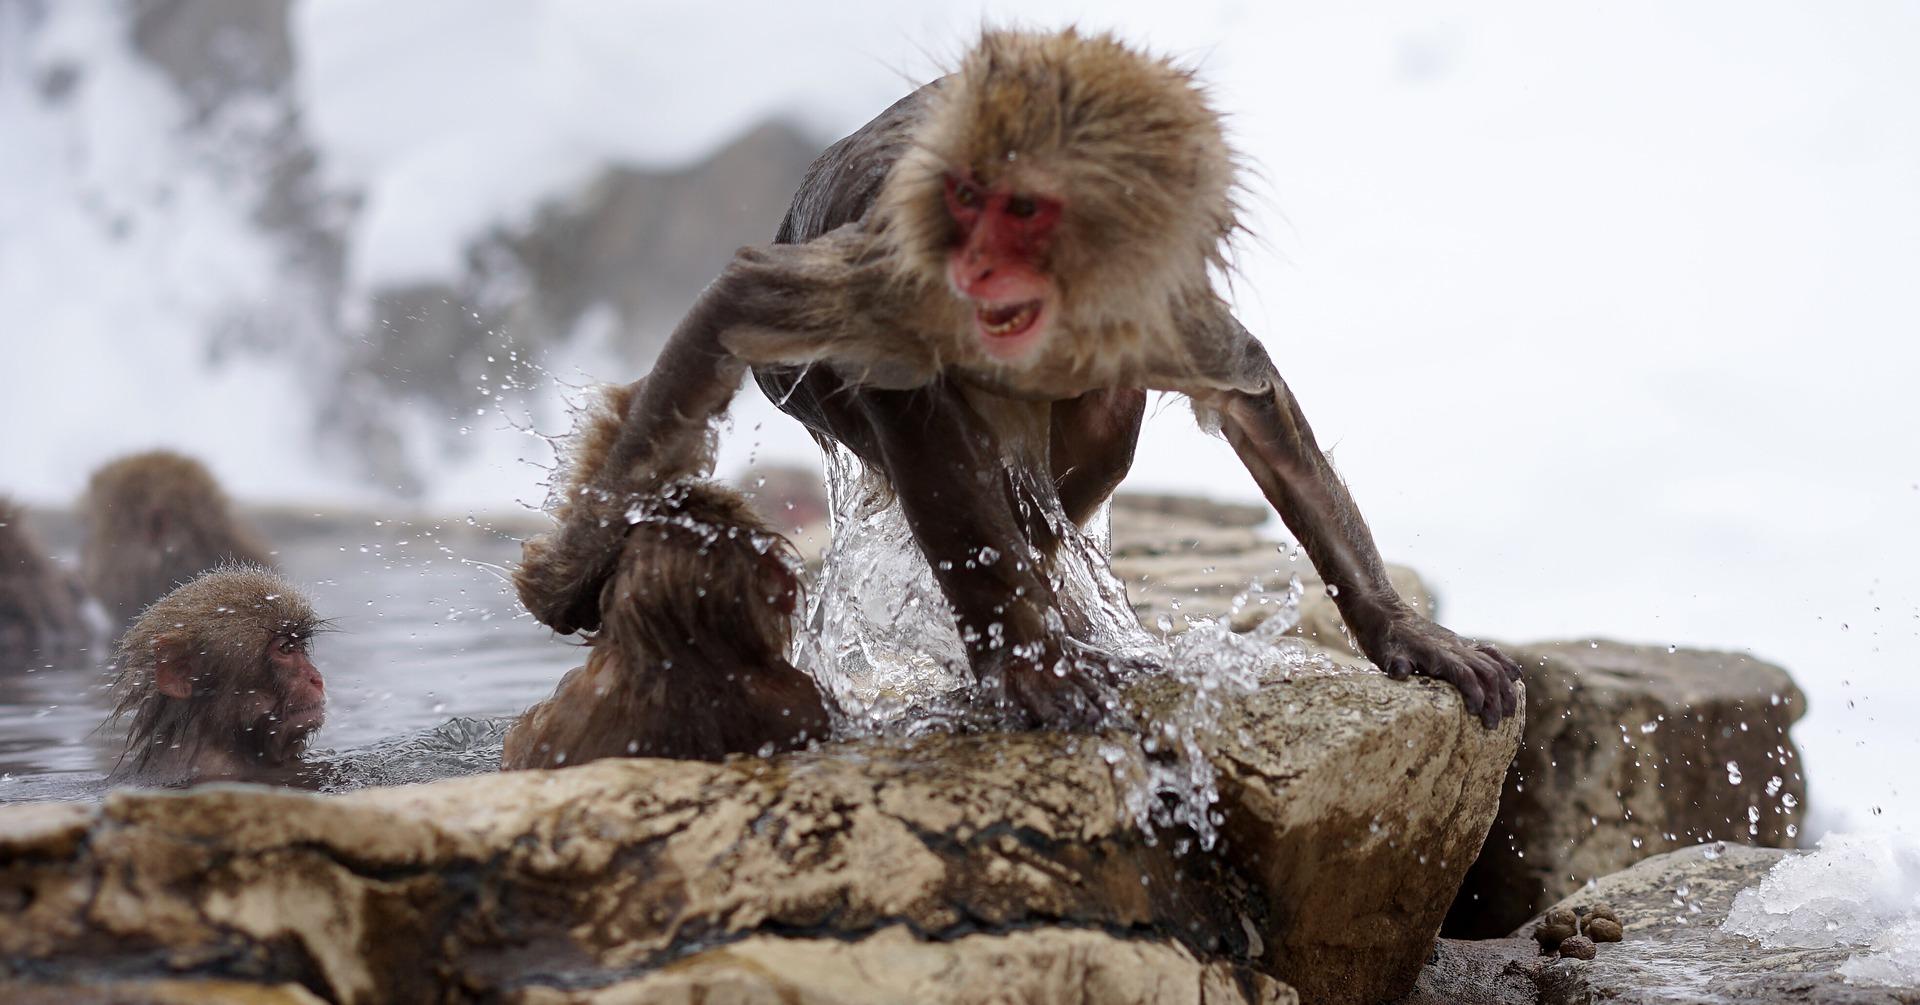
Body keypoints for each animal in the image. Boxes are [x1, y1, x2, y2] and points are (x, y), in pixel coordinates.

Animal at [516, 29, 1521, 732]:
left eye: (1026, 209)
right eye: (965, 198)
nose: (978, 267)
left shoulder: (1157, 307)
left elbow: (1252, 401)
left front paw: (1404, 632)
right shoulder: (897, 273)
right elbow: (752, 306)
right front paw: (569, 578)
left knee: (1093, 435)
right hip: (802, 384)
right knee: (921, 418)